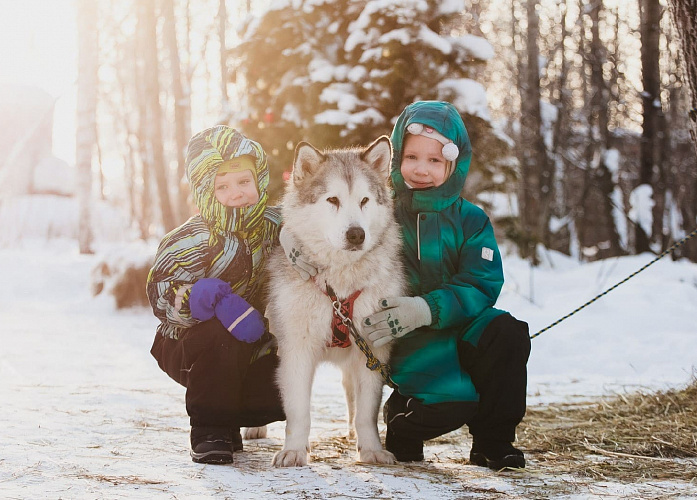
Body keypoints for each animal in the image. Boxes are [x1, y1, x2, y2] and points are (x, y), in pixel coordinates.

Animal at [268, 135, 408, 466]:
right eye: (332, 200)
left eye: (364, 201)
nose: (356, 234)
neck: (339, 289)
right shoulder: (296, 350)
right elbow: (298, 412)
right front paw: (294, 450)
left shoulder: (372, 350)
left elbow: (367, 412)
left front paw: (371, 449)